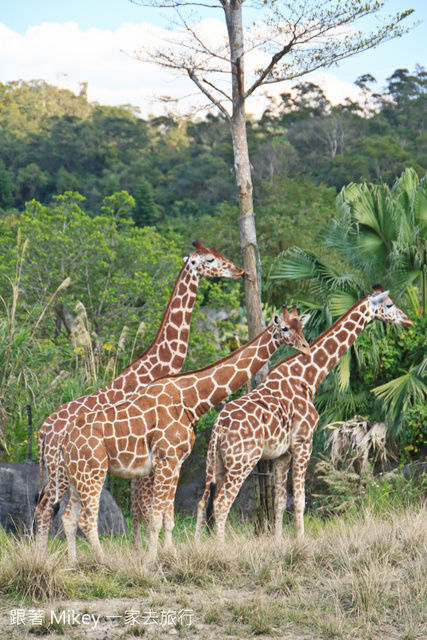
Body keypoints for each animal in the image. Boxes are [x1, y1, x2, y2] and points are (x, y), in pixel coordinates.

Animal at [35, 241, 246, 556]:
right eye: (210, 260)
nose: (239, 270)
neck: (157, 367)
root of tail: (43, 430)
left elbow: (140, 509)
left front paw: (139, 552)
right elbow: (145, 508)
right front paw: (146, 553)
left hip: (58, 470)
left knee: (48, 507)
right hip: (61, 469)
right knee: (47, 508)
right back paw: (41, 557)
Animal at [57, 304, 310, 564]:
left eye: (302, 326)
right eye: (284, 328)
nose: (305, 347)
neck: (191, 400)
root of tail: (65, 440)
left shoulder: (176, 462)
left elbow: (168, 518)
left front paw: (168, 554)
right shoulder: (166, 460)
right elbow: (155, 517)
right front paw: (151, 560)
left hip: (77, 475)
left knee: (69, 518)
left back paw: (73, 563)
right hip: (93, 472)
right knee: (87, 520)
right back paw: (104, 561)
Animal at [195, 288, 414, 544]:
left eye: (301, 326)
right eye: (389, 304)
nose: (408, 320)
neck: (307, 377)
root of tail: (218, 427)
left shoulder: (282, 453)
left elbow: (280, 502)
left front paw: (278, 541)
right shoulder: (303, 442)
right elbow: (300, 500)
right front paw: (300, 541)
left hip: (216, 462)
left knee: (203, 502)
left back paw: (198, 545)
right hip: (243, 461)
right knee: (221, 503)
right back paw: (220, 548)